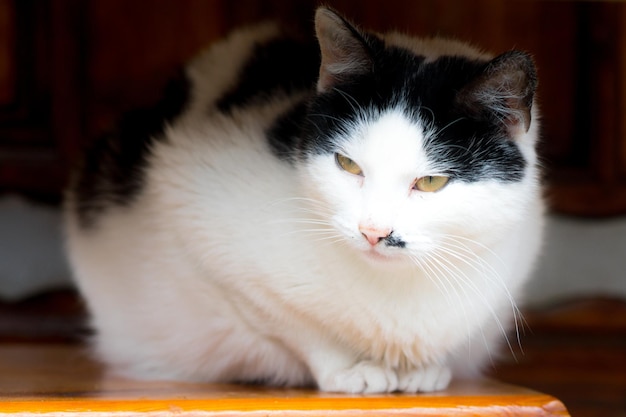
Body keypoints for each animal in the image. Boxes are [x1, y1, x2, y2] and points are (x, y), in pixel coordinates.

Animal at [63, 8, 540, 394]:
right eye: (348, 165)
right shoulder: (191, 204)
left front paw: (423, 369)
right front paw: (350, 370)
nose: (374, 232)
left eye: (430, 181)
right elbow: (295, 322)